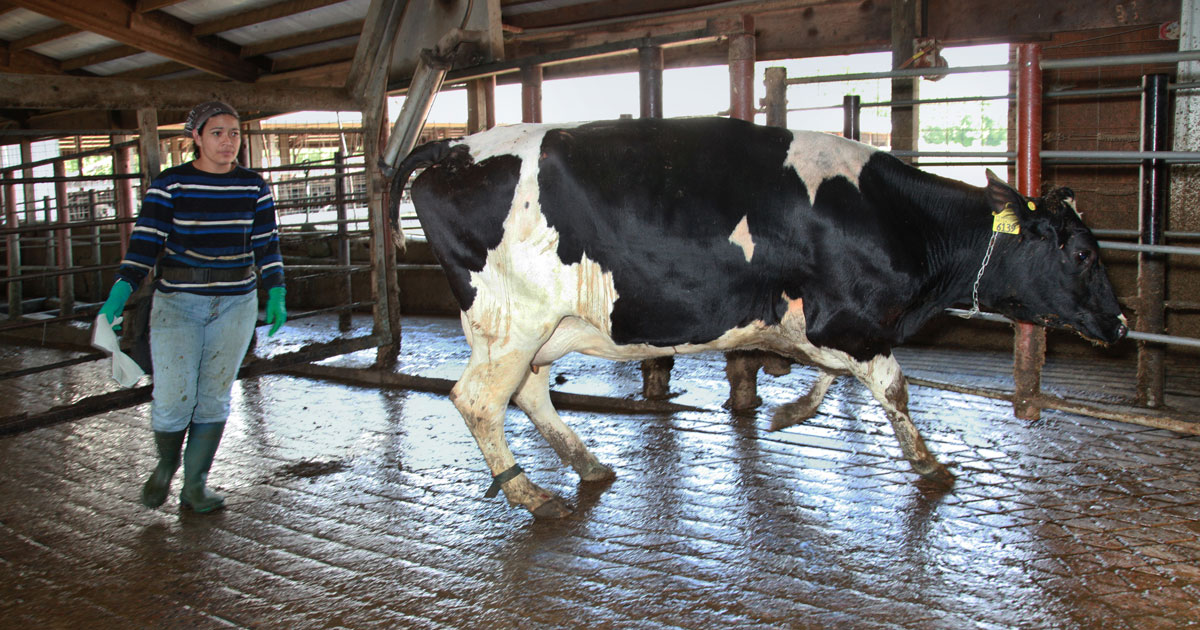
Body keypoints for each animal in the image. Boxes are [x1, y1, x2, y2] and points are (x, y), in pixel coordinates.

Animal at [388, 116, 1128, 516]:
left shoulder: (826, 321)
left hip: (542, 329)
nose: (1121, 324)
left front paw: (789, 410)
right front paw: (929, 465)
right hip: (511, 320)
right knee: (479, 398)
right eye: (1082, 253)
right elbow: (892, 386)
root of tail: (452, 148)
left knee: (530, 392)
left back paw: (588, 464)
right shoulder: (848, 320)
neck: (894, 219)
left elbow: (835, 376)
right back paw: (531, 495)